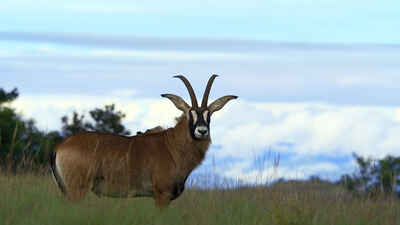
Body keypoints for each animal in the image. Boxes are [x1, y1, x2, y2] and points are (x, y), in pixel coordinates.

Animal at [50, 75, 238, 207]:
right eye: (189, 113)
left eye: (209, 114)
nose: (202, 130)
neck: (172, 146)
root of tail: (60, 146)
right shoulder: (162, 195)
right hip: (77, 190)